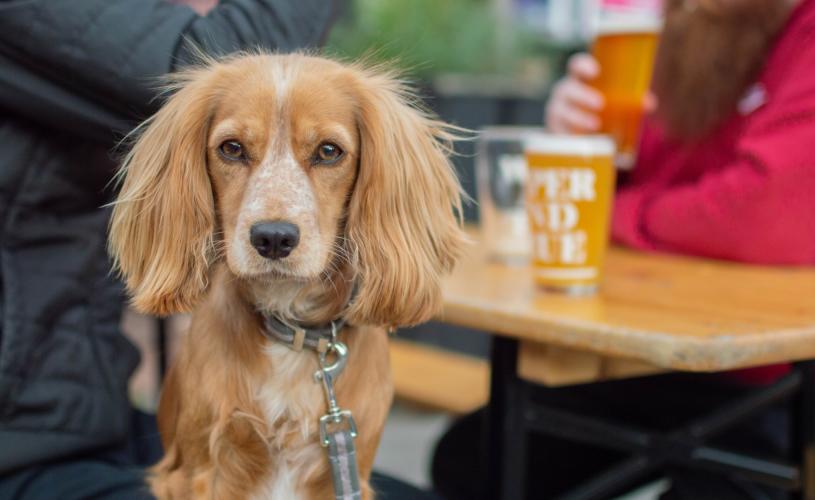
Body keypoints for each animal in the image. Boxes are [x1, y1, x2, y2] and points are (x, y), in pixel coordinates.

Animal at [106, 52, 468, 498]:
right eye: (231, 148)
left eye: (329, 151)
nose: (273, 237)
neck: (293, 334)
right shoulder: (198, 470)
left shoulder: (349, 469)